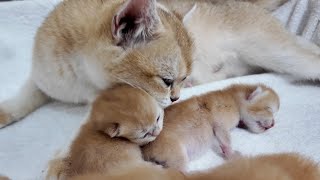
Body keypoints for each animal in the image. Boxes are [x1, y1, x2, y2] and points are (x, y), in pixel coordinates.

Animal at [0, 0, 320, 128]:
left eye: (177, 80)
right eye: (168, 80)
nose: (177, 95)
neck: (79, 80)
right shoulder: (44, 78)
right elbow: (25, 95)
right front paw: (6, 111)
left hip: (277, 50)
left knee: (311, 56)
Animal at [142, 83, 280, 171]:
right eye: (269, 109)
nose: (273, 124)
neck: (234, 99)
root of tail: (144, 152)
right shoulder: (220, 122)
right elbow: (225, 139)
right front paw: (231, 155)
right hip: (175, 154)